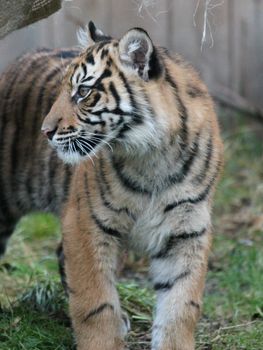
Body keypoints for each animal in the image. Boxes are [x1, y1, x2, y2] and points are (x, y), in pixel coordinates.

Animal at [0, 21, 224, 350]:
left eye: (83, 91)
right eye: (64, 90)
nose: (45, 131)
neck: (152, 157)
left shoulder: (187, 230)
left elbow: (181, 306)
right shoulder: (85, 223)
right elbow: (95, 303)